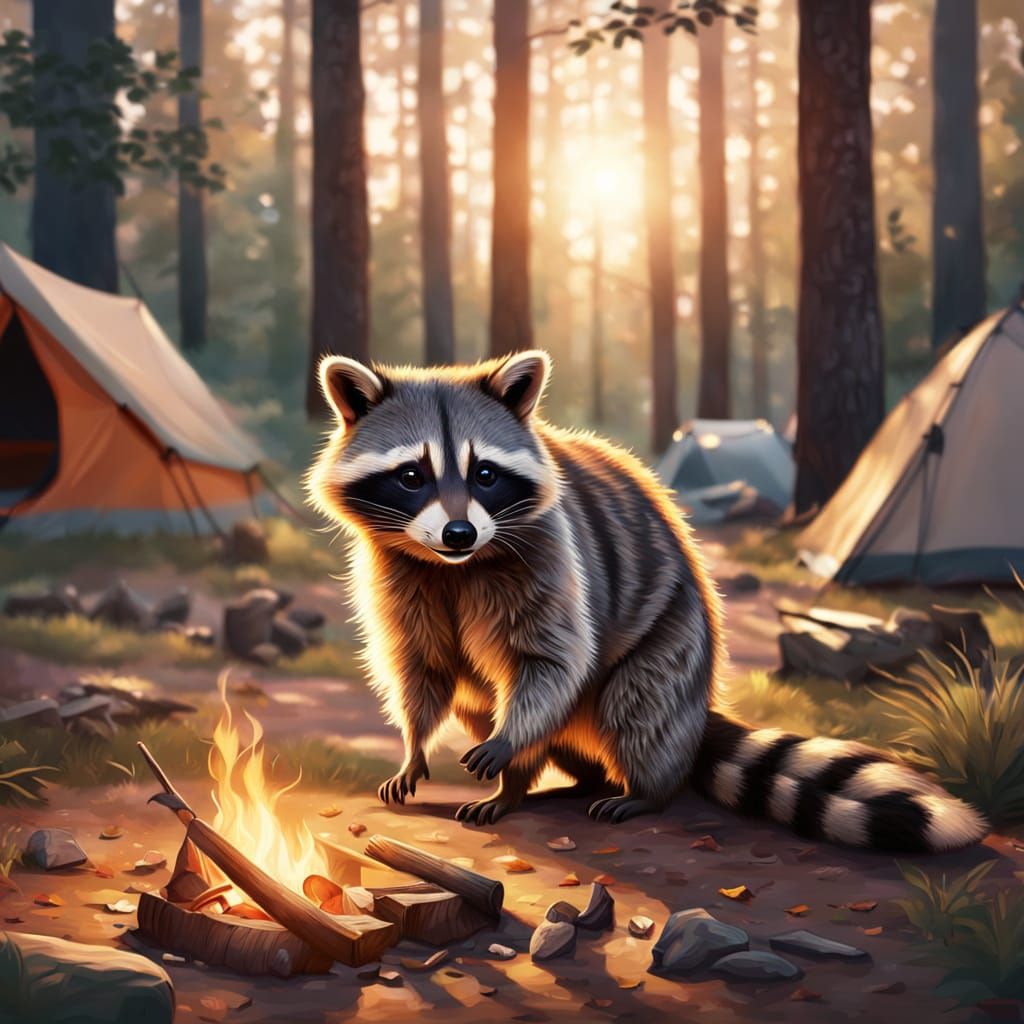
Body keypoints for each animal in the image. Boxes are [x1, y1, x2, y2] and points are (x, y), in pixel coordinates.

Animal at [307, 350, 987, 853]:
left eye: (485, 474)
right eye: (412, 475)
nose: (458, 533)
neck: (455, 568)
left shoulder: (552, 553)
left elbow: (552, 660)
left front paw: (507, 747)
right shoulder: (398, 574)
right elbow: (419, 665)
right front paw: (414, 745)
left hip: (674, 638)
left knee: (635, 708)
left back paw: (604, 786)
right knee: (482, 700)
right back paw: (554, 782)